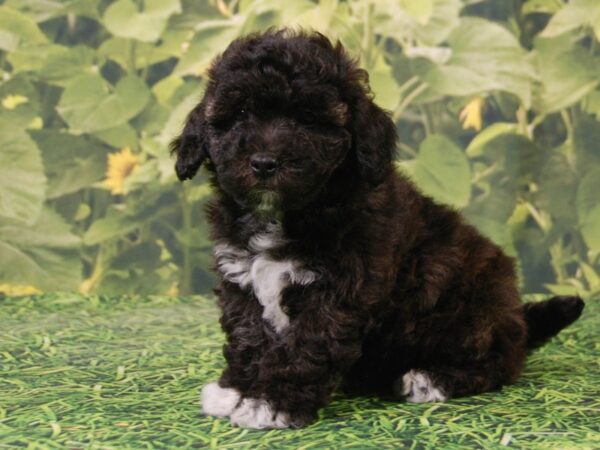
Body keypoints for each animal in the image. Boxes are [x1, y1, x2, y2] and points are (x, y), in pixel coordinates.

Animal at [171, 29, 584, 428]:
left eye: (307, 119)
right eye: (240, 113)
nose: (264, 162)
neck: (286, 212)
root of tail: (517, 316)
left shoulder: (339, 288)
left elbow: (306, 345)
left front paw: (272, 403)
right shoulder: (241, 279)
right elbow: (248, 336)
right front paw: (237, 389)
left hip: (471, 312)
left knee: (501, 361)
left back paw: (429, 379)